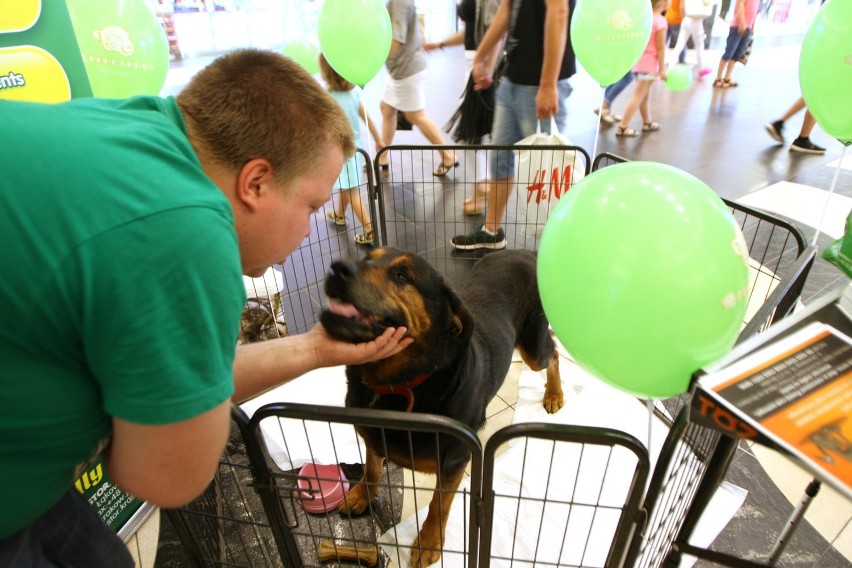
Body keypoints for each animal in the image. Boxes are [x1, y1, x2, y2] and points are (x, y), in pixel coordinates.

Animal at [318, 246, 560, 564]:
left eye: (402, 276)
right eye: (367, 257)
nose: (336, 267)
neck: (400, 384)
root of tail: (525, 251)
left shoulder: (456, 461)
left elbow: (438, 504)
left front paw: (428, 543)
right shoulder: (372, 435)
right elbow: (371, 467)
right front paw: (361, 496)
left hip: (533, 346)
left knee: (553, 352)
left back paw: (554, 395)